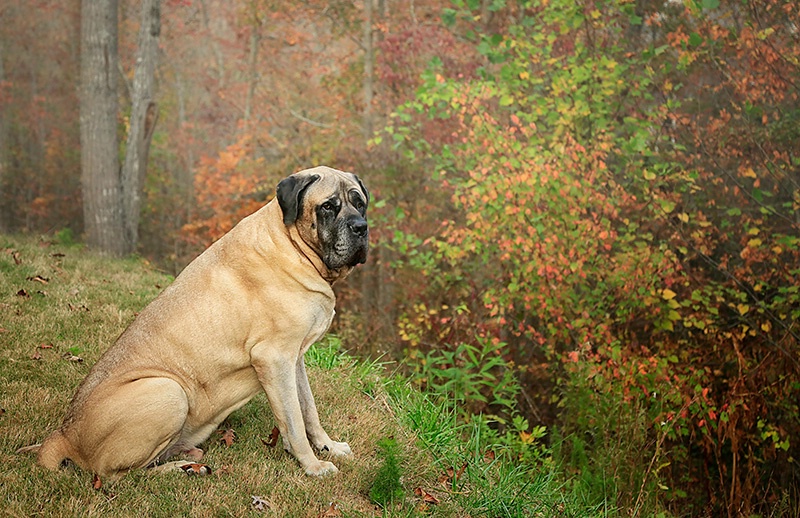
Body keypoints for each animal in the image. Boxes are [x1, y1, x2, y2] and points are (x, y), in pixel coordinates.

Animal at [32, 167, 368, 484]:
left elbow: (308, 409)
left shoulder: (294, 358)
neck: (294, 246)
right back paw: (181, 470)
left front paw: (328, 446)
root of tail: (63, 434)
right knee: (116, 475)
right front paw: (312, 465)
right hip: (168, 390)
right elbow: (295, 420)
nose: (361, 228)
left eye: (360, 203)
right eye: (328, 206)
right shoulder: (275, 358)